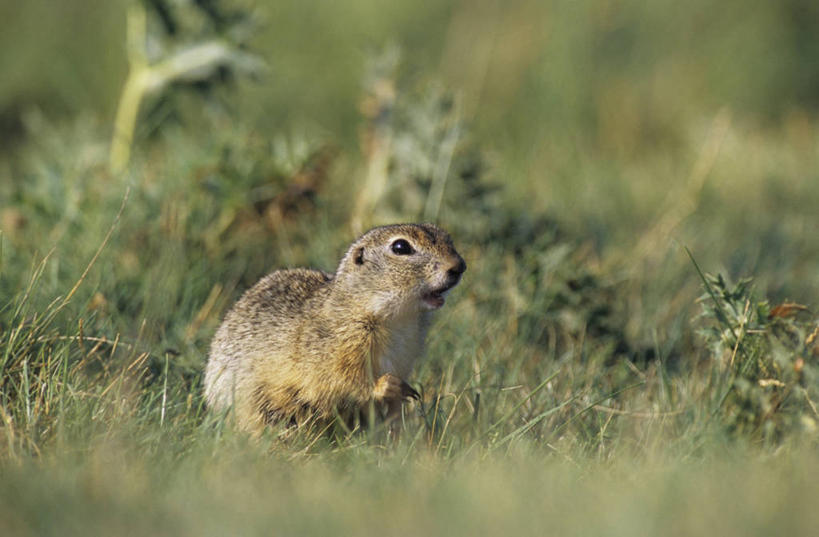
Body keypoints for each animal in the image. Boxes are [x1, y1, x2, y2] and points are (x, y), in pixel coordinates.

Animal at [203, 221, 464, 432]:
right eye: (401, 247)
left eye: (447, 238)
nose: (459, 266)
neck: (397, 320)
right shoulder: (336, 350)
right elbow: (343, 382)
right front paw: (388, 385)